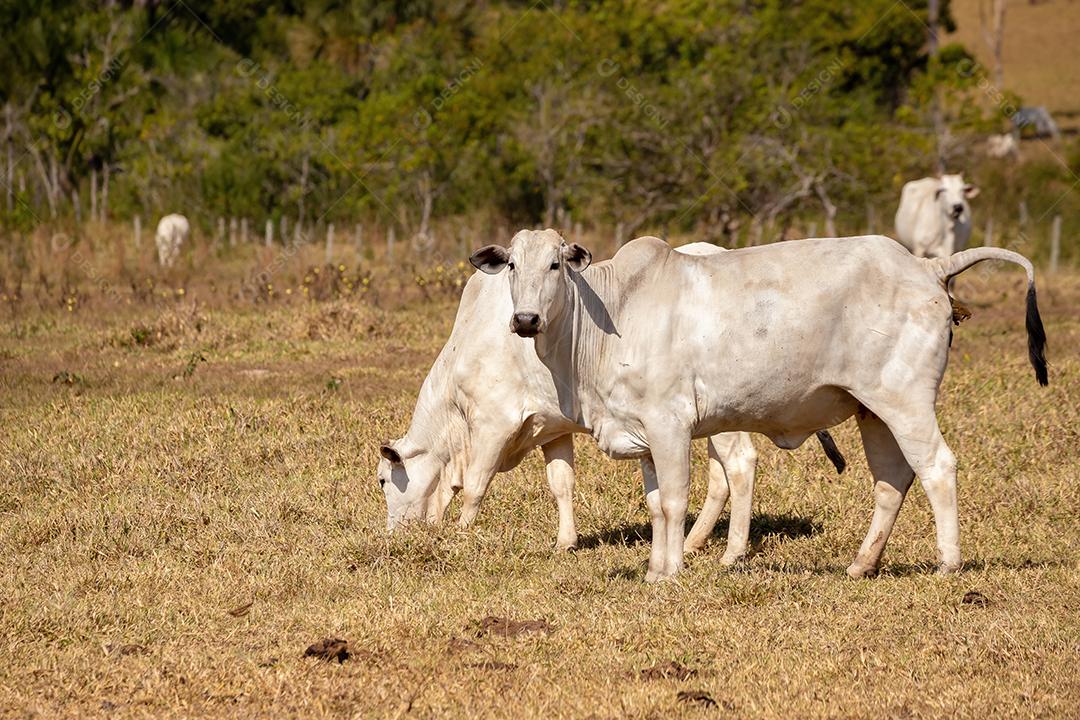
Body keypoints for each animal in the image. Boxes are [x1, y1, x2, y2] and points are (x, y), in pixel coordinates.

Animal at [378, 242, 845, 564]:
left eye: (383, 481)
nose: (394, 536)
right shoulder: (552, 428)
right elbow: (561, 484)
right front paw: (565, 541)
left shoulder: (494, 422)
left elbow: (475, 485)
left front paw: (459, 534)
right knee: (719, 478)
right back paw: (694, 542)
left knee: (740, 466)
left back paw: (729, 553)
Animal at [461, 229, 1046, 581]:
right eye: (511, 266)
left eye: (556, 265)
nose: (526, 320)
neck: (614, 313)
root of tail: (926, 266)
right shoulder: (644, 435)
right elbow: (656, 504)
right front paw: (653, 569)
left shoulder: (670, 425)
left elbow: (675, 501)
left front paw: (670, 572)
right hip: (873, 411)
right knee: (891, 480)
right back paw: (861, 564)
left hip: (906, 402)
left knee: (936, 468)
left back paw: (948, 563)